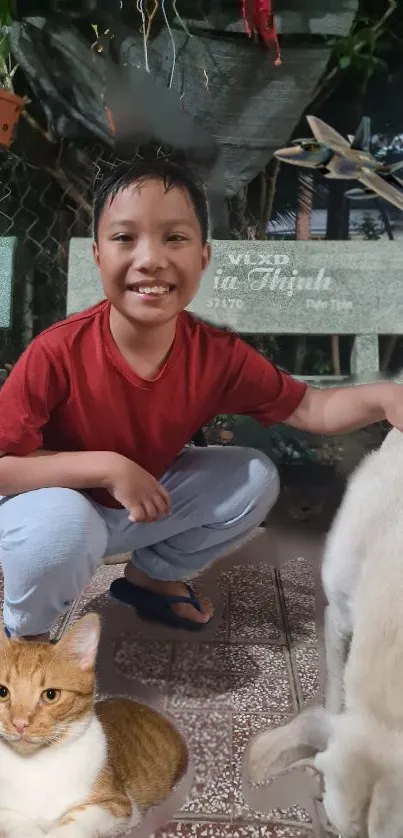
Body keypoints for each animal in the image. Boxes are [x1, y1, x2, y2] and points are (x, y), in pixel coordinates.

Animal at [0, 612, 188, 836]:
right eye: (2, 692)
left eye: (51, 695)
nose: (19, 723)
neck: (35, 765)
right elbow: (16, 821)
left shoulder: (116, 804)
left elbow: (74, 821)